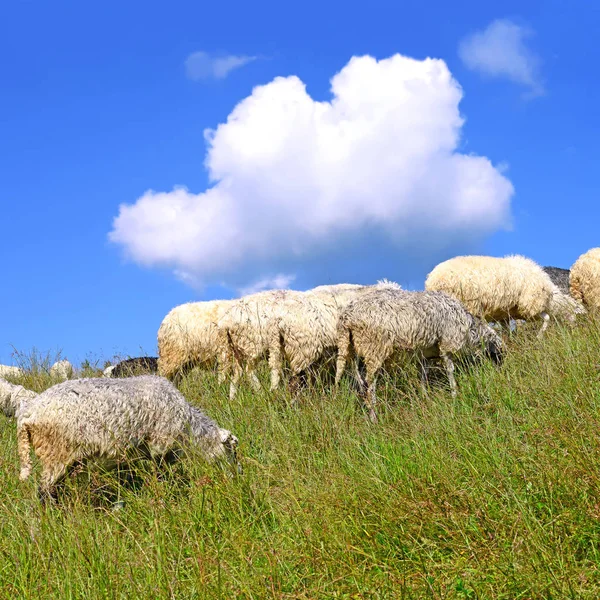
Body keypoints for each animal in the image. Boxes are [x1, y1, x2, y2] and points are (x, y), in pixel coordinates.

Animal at [15, 376, 239, 502]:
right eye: (232, 451)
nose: (238, 476)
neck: (190, 428)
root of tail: (27, 416)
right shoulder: (159, 446)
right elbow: (161, 475)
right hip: (56, 453)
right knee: (44, 492)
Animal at [336, 288, 504, 422]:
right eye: (499, 356)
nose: (500, 371)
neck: (470, 328)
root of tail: (347, 318)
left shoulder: (425, 351)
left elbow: (423, 375)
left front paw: (425, 399)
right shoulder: (446, 343)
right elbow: (450, 369)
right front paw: (454, 394)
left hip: (352, 349)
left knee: (360, 380)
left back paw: (368, 408)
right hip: (374, 346)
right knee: (369, 383)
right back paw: (374, 417)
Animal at [424, 254, 580, 338]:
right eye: (574, 315)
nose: (576, 330)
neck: (551, 299)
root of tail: (432, 280)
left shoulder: (505, 313)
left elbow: (507, 330)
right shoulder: (531, 305)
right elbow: (547, 318)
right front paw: (539, 337)